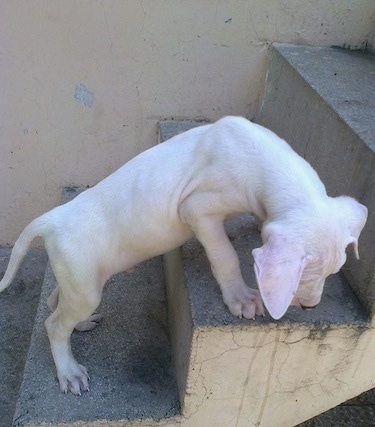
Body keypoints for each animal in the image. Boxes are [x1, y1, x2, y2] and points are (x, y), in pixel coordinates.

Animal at [0, 116, 368, 394]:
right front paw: (242, 298)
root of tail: (50, 220)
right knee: (53, 325)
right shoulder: (197, 209)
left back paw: (81, 324)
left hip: (80, 280)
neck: (267, 163)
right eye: (306, 272)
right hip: (85, 287)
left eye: (332, 271)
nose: (310, 307)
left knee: (56, 303)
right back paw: (69, 371)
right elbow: (224, 255)